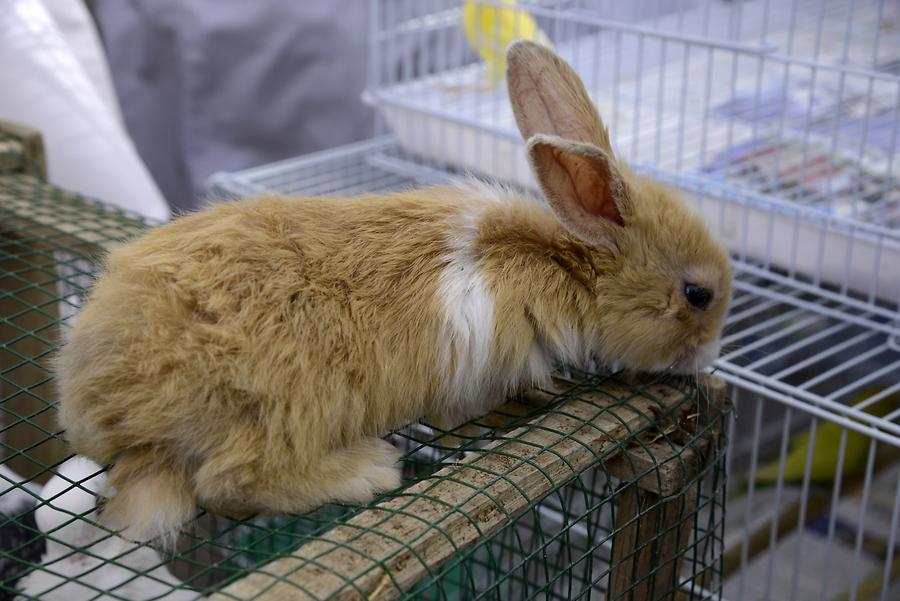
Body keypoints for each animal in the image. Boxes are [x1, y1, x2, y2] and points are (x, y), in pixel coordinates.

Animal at [54, 39, 732, 540]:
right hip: (290, 405)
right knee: (230, 481)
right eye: (697, 295)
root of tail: (110, 416)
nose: (706, 357)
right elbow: (465, 417)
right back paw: (368, 472)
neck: (561, 265)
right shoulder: (477, 372)